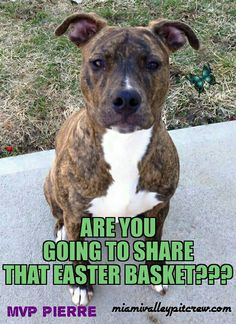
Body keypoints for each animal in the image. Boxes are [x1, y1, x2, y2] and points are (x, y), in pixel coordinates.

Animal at [43, 12, 199, 306]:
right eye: (98, 62)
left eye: (153, 64)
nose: (126, 98)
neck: (124, 146)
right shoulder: (76, 213)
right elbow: (77, 252)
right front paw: (80, 285)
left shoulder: (161, 207)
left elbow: (155, 240)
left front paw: (155, 272)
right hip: (51, 186)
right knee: (58, 213)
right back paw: (60, 229)